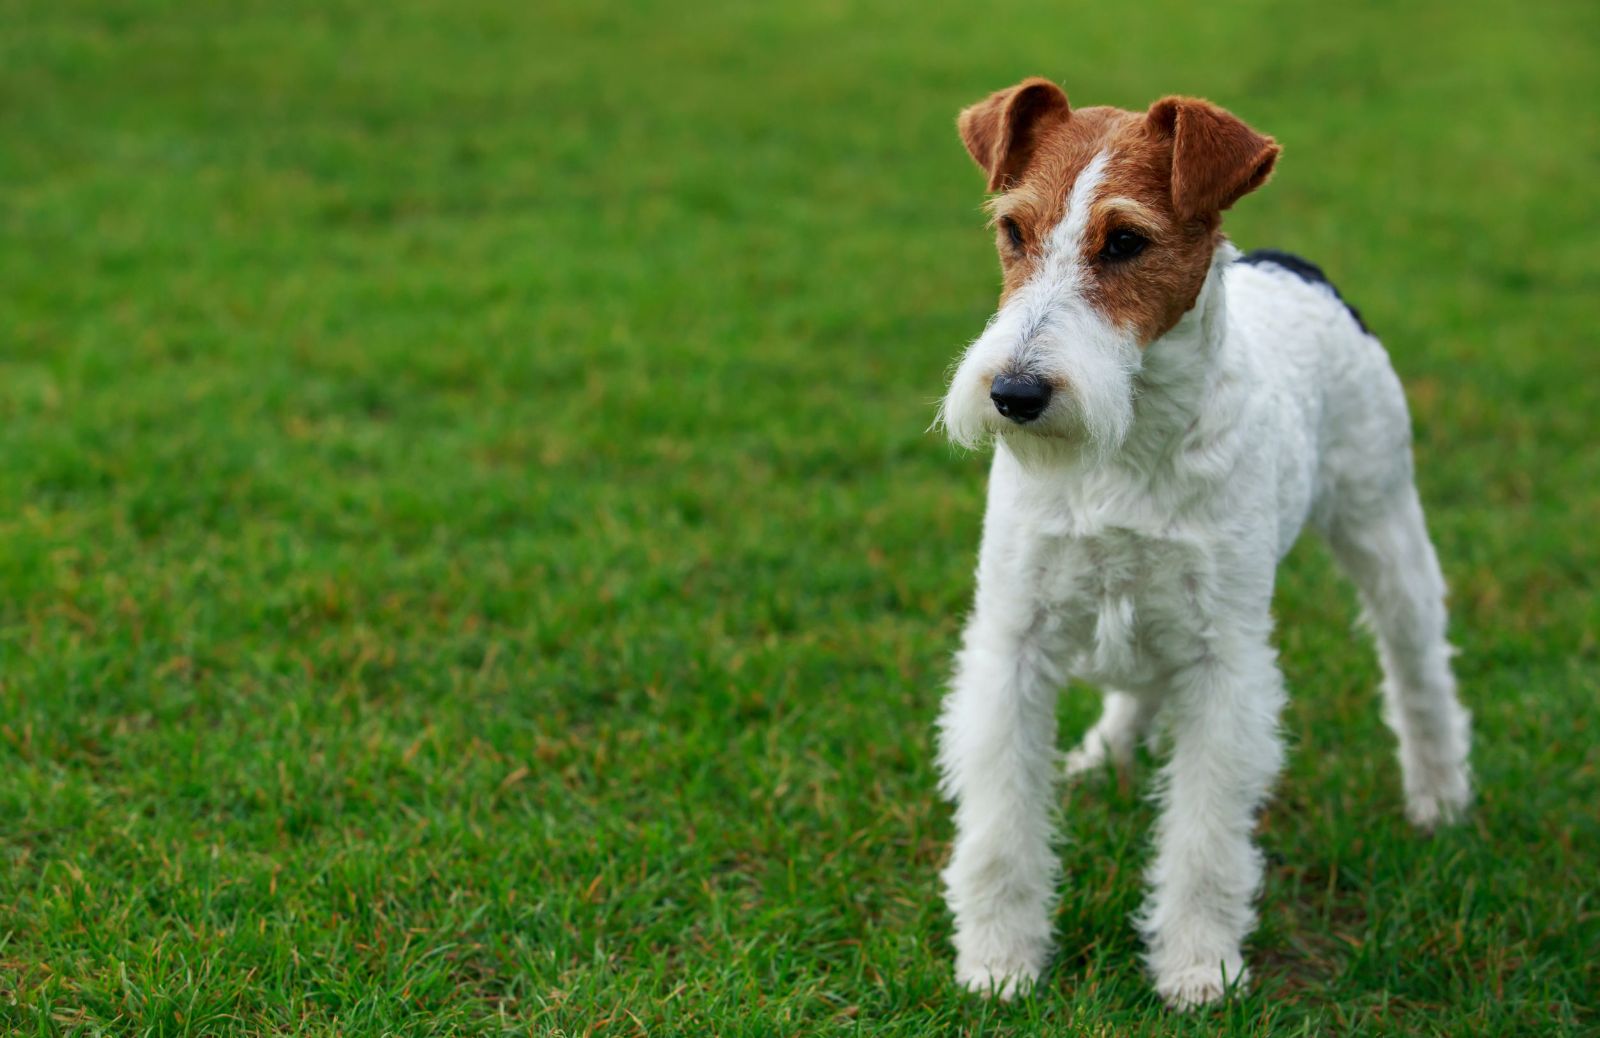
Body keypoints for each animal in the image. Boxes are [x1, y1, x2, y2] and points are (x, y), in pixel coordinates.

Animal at [934, 78, 1472, 1004]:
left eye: (1125, 241)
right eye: (1012, 232)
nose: (1015, 393)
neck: (1127, 440)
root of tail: (1294, 265)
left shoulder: (1225, 660)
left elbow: (1204, 839)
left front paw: (1198, 968)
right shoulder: (1014, 639)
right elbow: (1003, 828)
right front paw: (999, 964)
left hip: (1382, 525)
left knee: (1419, 670)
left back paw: (1440, 797)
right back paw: (1099, 754)